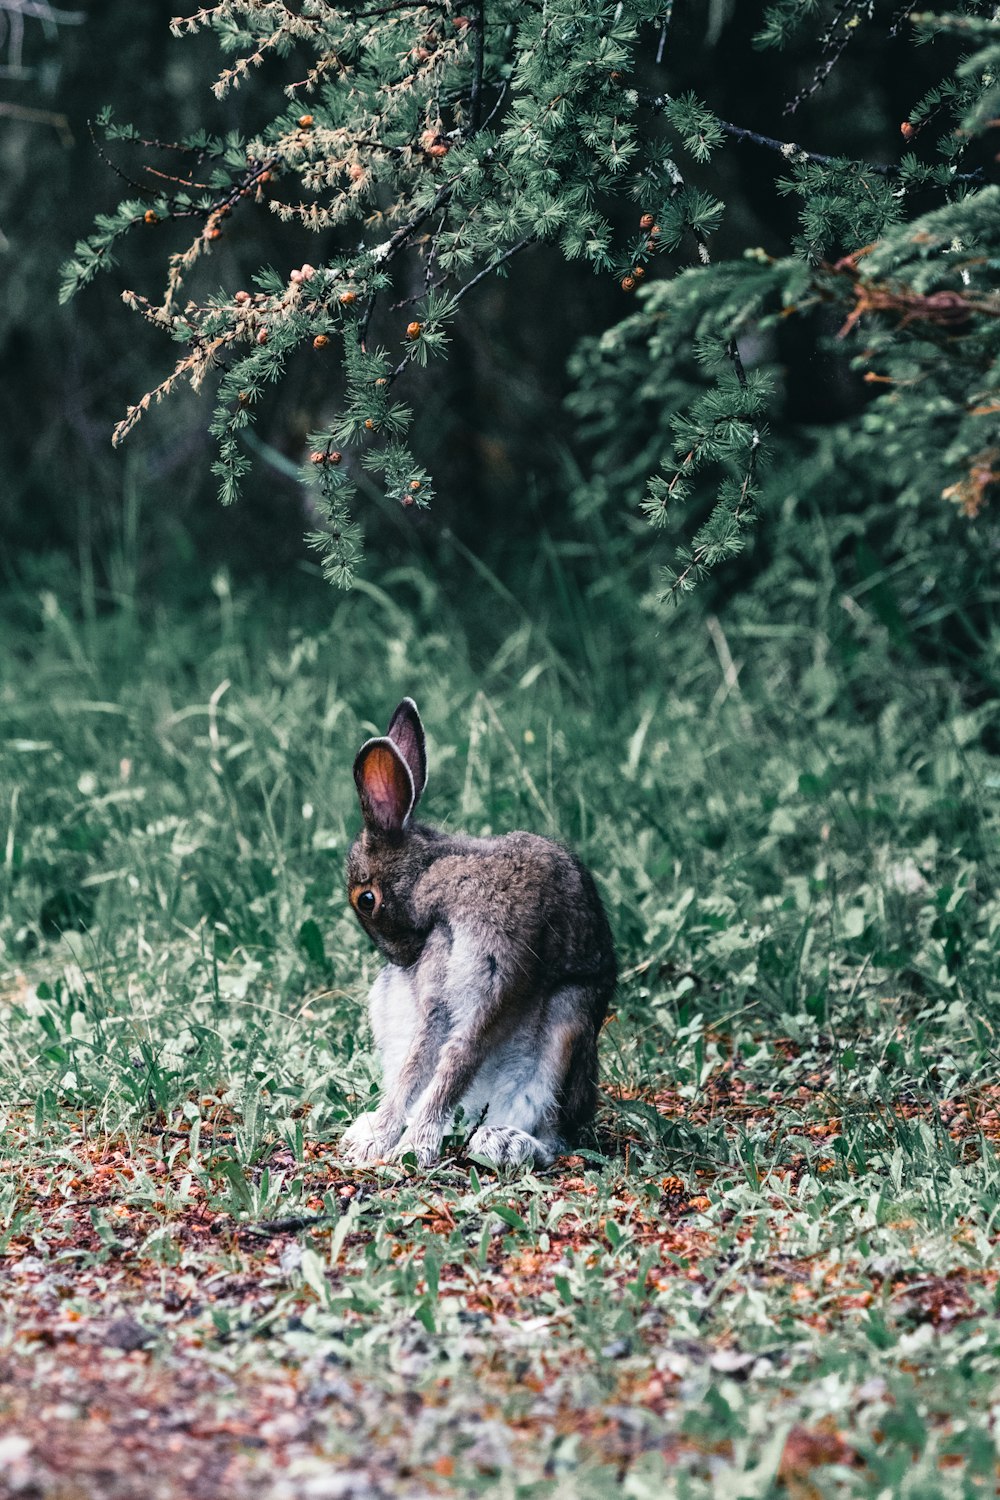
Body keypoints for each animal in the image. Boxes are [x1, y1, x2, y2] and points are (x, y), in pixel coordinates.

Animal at [340, 702, 614, 1170]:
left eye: (366, 899)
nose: (400, 958)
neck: (438, 878)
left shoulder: (500, 978)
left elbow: (458, 1058)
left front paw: (412, 1148)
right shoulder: (436, 995)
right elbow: (417, 1064)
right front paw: (375, 1140)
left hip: (568, 1028)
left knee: (555, 1137)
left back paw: (505, 1142)